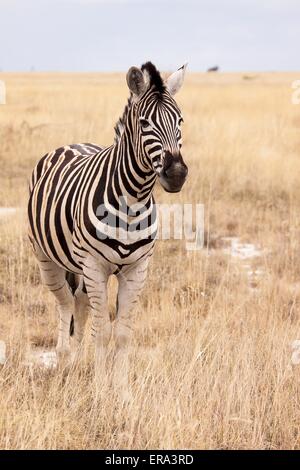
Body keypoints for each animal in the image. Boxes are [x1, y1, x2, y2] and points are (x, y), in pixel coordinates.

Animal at [27, 60, 188, 394]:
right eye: (145, 123)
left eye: (180, 120)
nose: (177, 174)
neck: (133, 200)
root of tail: (70, 144)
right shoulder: (95, 265)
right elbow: (101, 332)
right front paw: (101, 393)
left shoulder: (137, 268)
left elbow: (123, 333)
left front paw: (123, 393)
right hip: (47, 259)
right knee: (65, 301)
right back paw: (64, 361)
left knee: (79, 302)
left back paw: (77, 364)